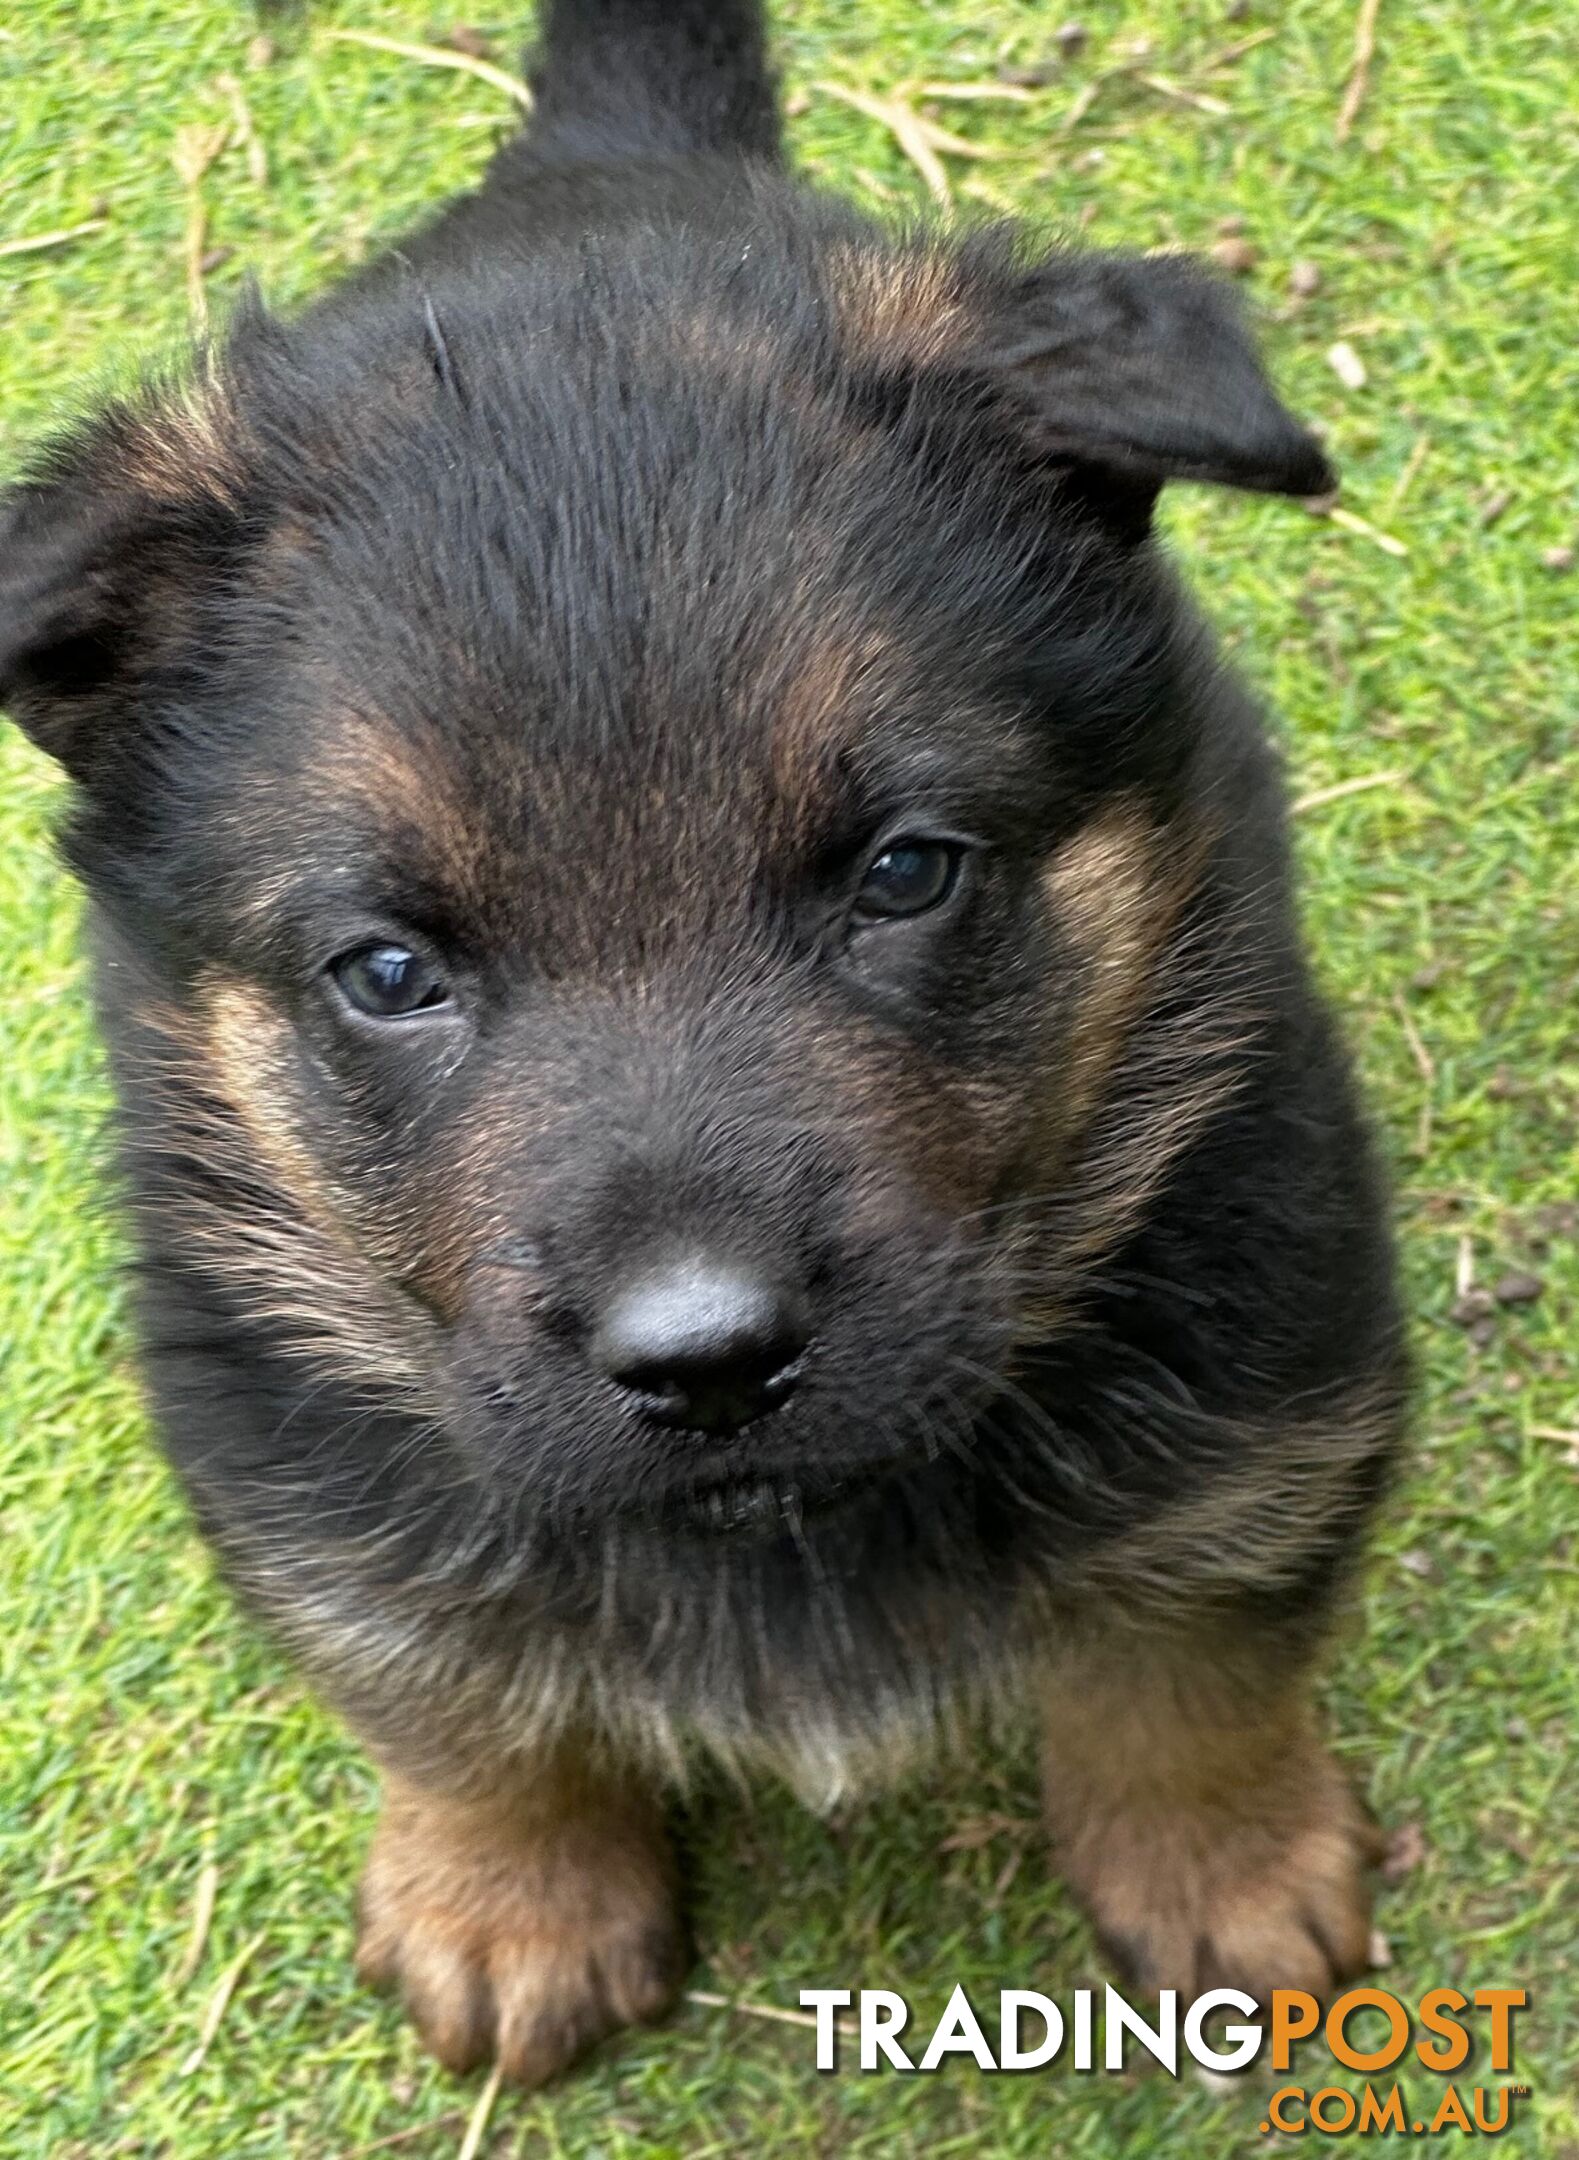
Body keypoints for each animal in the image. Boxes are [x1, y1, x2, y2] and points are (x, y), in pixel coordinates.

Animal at [6, 4, 1399, 2090]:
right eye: (388, 972)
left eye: (904, 873)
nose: (704, 1360)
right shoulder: (292, 1452)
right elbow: (440, 1690)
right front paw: (503, 1893)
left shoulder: (1265, 1375)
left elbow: (1194, 1656)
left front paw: (1223, 1860)